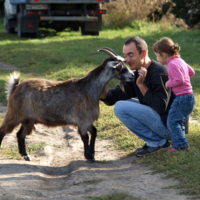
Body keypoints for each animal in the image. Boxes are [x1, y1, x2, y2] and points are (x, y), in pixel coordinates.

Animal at [0, 47, 135, 162]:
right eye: (119, 67)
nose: (133, 75)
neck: (88, 89)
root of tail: (15, 87)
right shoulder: (82, 120)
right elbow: (85, 137)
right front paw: (88, 156)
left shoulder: (87, 120)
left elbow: (94, 132)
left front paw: (92, 154)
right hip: (14, 113)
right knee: (3, 130)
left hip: (28, 119)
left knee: (20, 134)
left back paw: (26, 155)